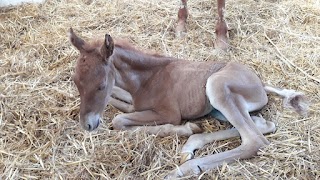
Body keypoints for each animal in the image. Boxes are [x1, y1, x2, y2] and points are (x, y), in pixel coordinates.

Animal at [69, 28, 308, 179]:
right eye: (76, 81)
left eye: (100, 85)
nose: (87, 125)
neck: (147, 78)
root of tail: (260, 83)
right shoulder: (134, 101)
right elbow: (122, 104)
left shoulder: (168, 113)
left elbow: (120, 120)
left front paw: (182, 129)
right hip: (218, 107)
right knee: (261, 124)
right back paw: (191, 145)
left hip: (216, 86)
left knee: (254, 140)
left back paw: (184, 168)